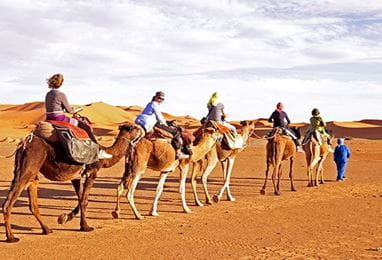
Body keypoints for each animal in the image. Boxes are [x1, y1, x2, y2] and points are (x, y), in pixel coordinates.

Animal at [2, 123, 141, 243]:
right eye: (134, 127)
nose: (142, 129)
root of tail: (25, 144)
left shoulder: (76, 177)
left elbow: (80, 199)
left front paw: (64, 218)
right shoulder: (92, 173)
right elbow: (84, 201)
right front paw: (86, 227)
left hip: (30, 171)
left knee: (33, 198)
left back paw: (46, 229)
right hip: (29, 166)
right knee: (10, 201)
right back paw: (11, 237)